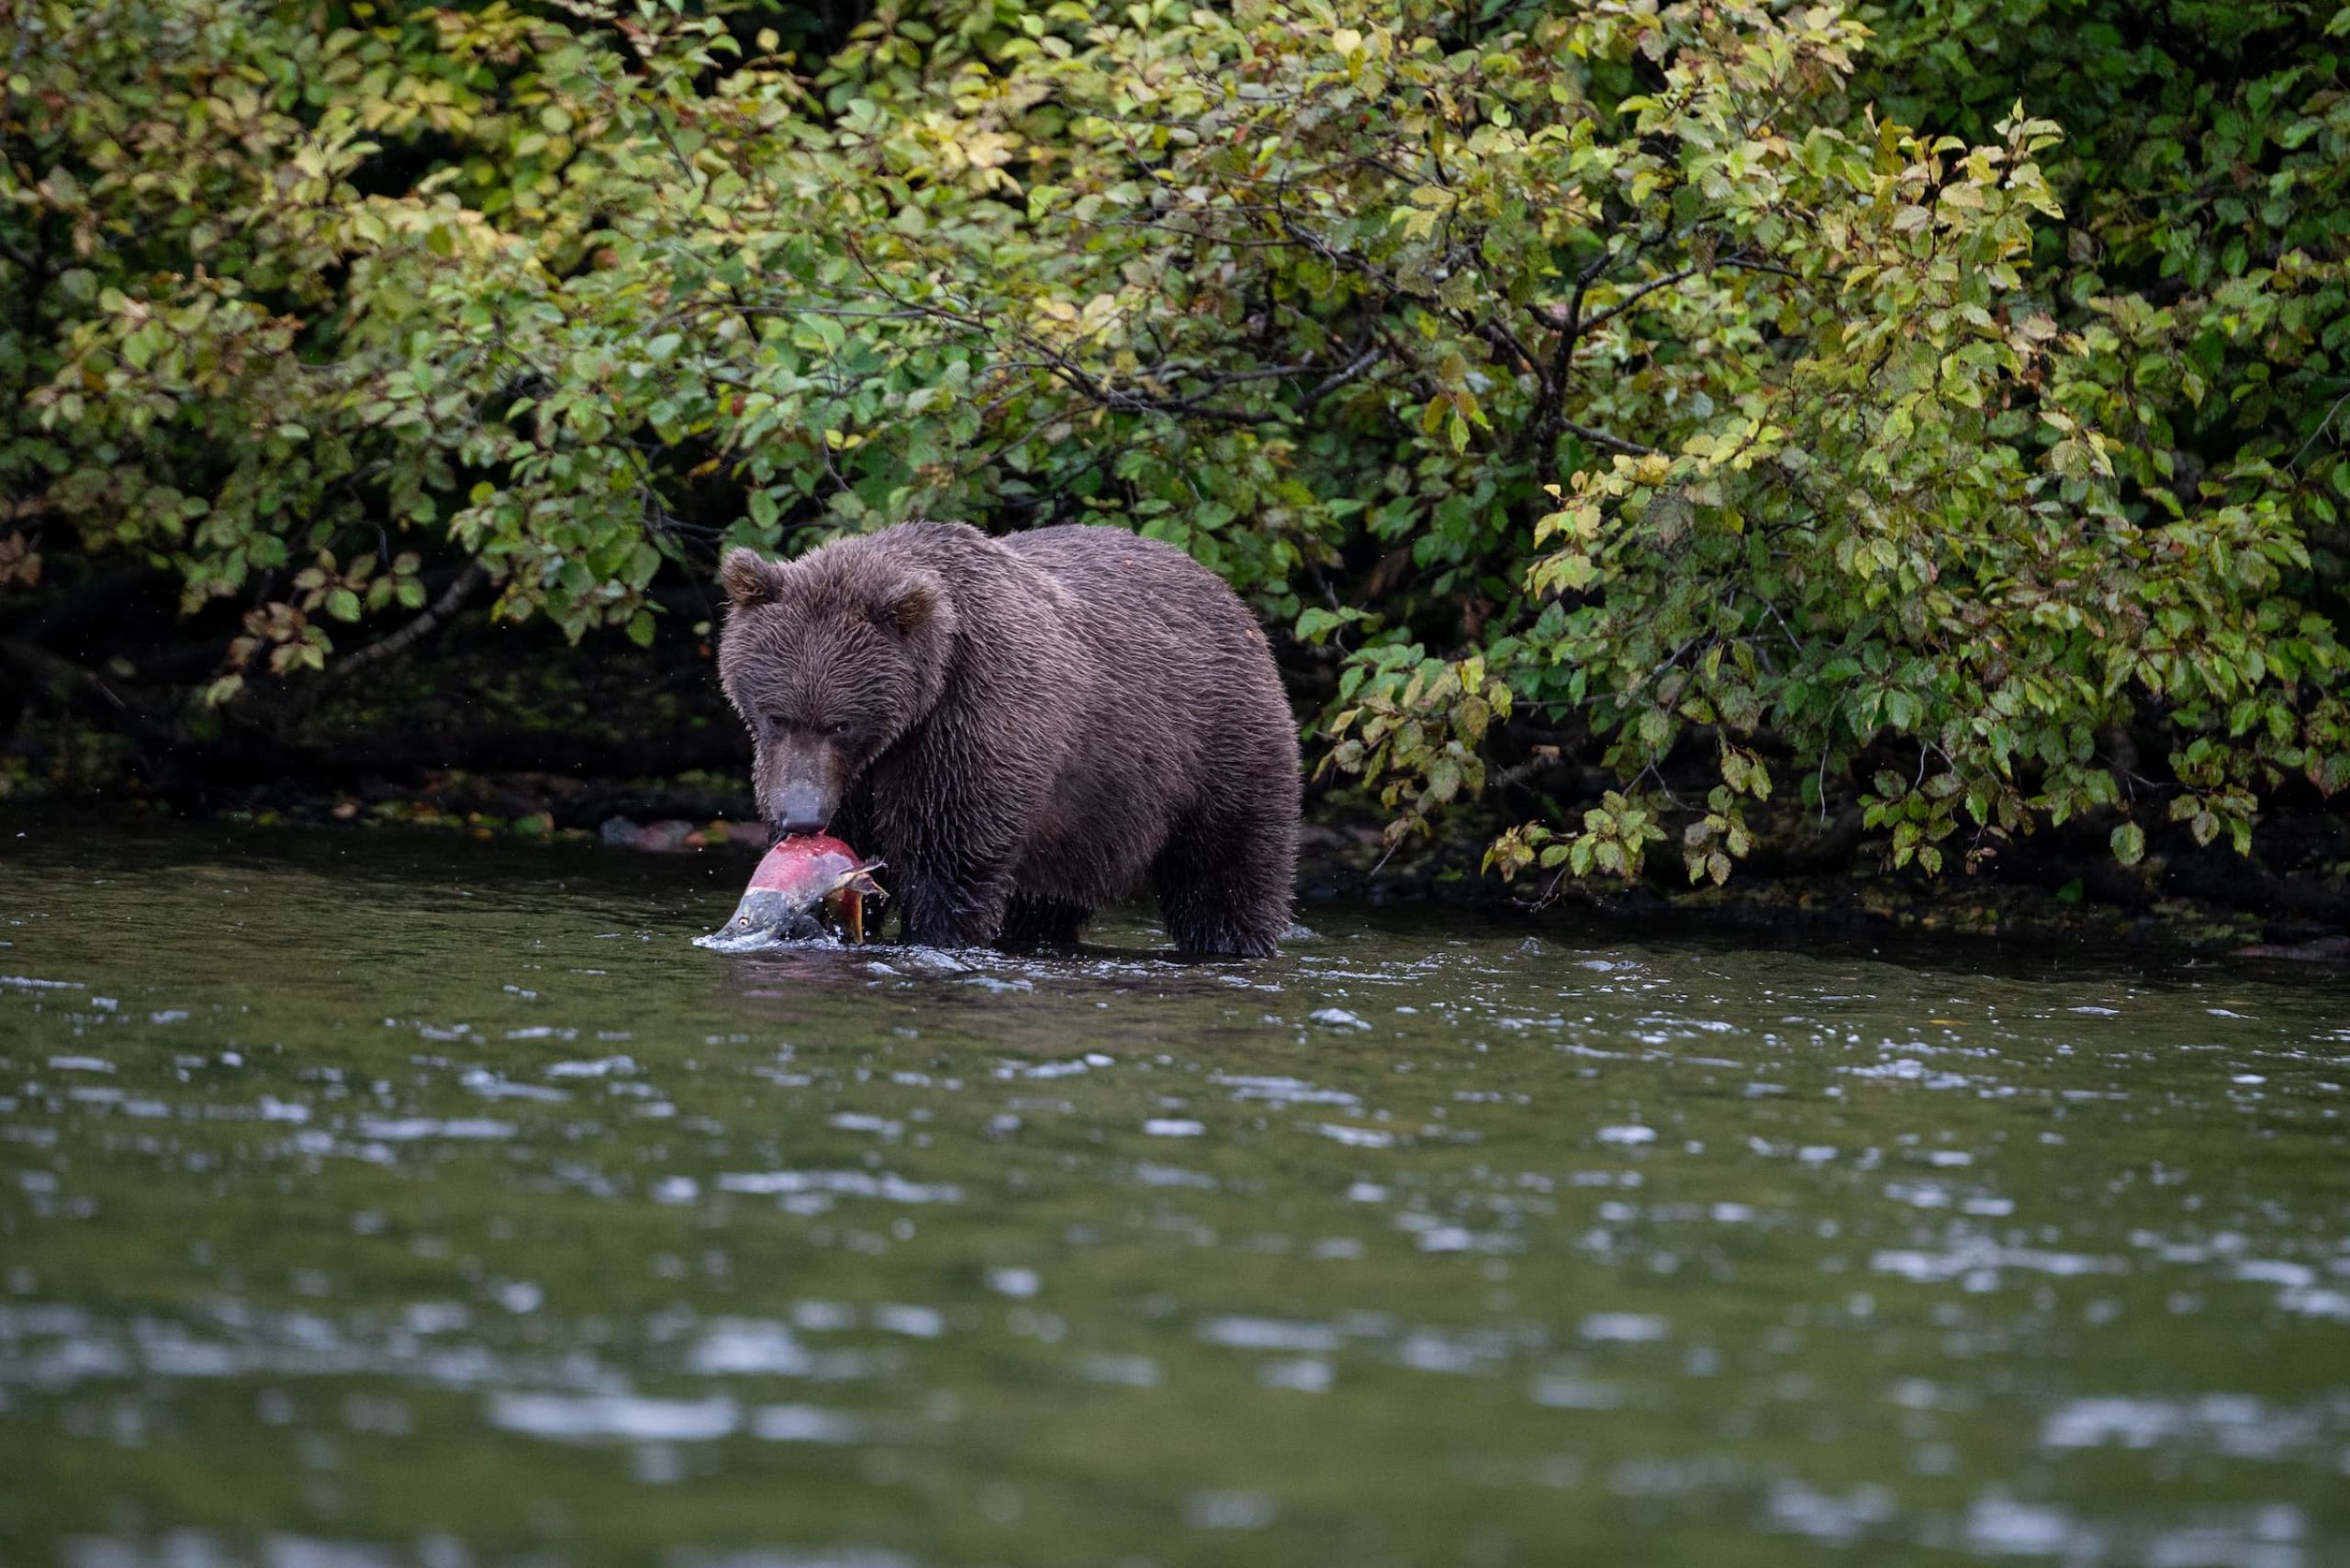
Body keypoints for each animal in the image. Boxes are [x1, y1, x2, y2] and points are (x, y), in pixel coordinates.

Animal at [714, 521, 1306, 958]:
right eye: (775, 716)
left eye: (840, 723)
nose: (802, 817)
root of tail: (1229, 594)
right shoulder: (851, 771)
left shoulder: (977, 715)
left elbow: (949, 857)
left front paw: (934, 934)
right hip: (1080, 819)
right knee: (1045, 899)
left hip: (1219, 744)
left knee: (1225, 872)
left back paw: (1233, 941)